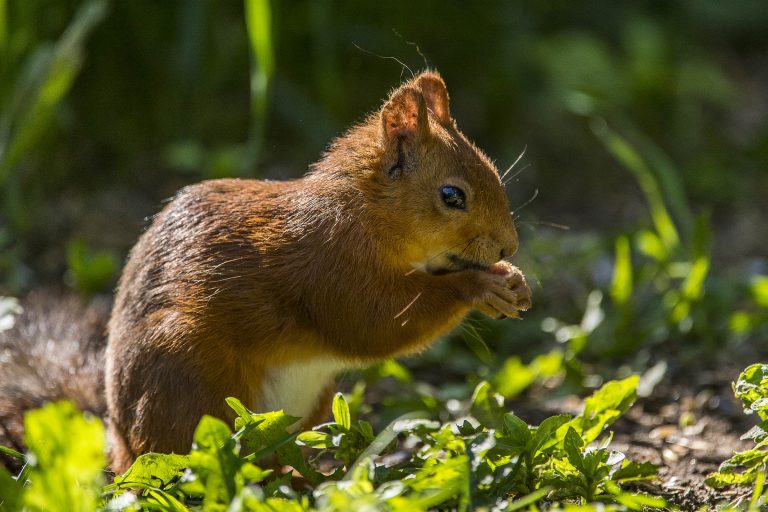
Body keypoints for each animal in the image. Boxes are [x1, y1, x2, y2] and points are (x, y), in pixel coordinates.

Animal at [0, 71, 528, 472]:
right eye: (452, 196)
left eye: (492, 169)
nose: (509, 245)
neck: (361, 214)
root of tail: (119, 439)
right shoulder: (329, 268)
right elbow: (377, 324)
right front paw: (482, 285)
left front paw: (515, 280)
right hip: (189, 377)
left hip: (314, 402)